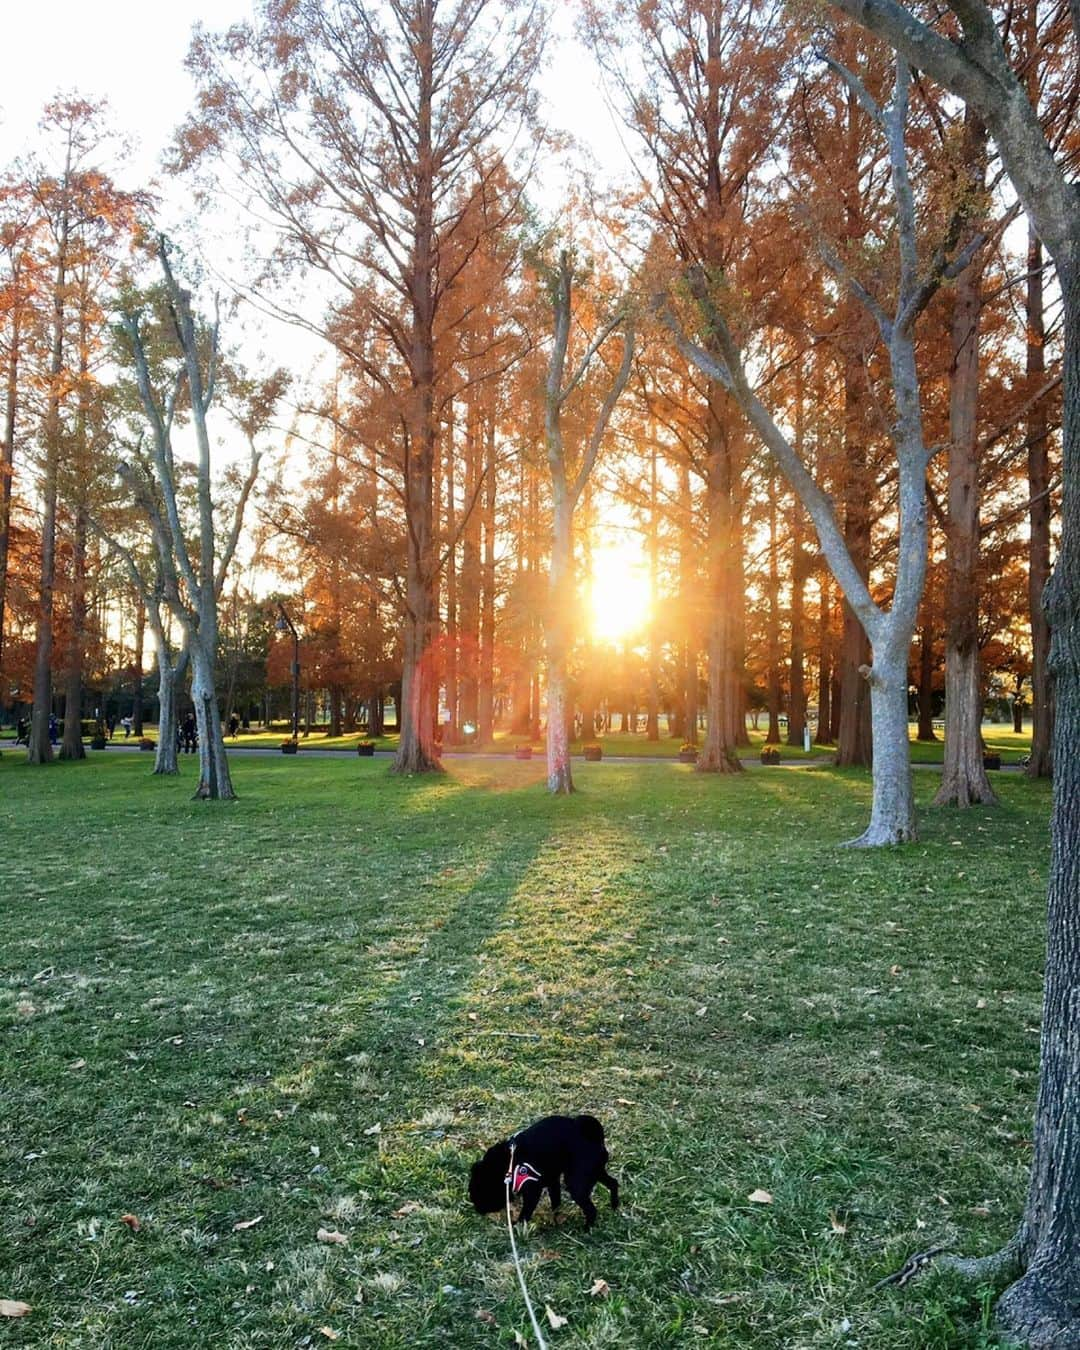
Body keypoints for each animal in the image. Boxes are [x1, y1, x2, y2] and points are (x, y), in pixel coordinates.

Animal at [467, 1112, 621, 1231]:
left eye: (481, 1194)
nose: (477, 1209)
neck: (509, 1165)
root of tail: (593, 1135)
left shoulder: (533, 1190)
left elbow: (526, 1212)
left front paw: (517, 1226)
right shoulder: (552, 1180)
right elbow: (556, 1201)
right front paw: (555, 1219)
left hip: (577, 1183)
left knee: (591, 1209)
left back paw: (587, 1229)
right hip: (595, 1172)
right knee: (613, 1183)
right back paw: (614, 1205)